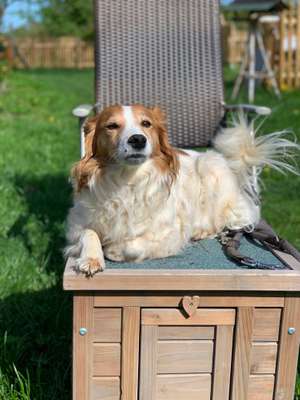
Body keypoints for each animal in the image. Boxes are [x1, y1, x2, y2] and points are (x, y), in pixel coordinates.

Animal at [63, 103, 298, 276]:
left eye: (146, 123)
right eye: (111, 126)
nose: (137, 139)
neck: (127, 180)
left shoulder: (171, 233)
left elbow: (132, 246)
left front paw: (112, 249)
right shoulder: (76, 223)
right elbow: (89, 233)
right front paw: (91, 258)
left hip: (211, 169)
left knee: (227, 223)